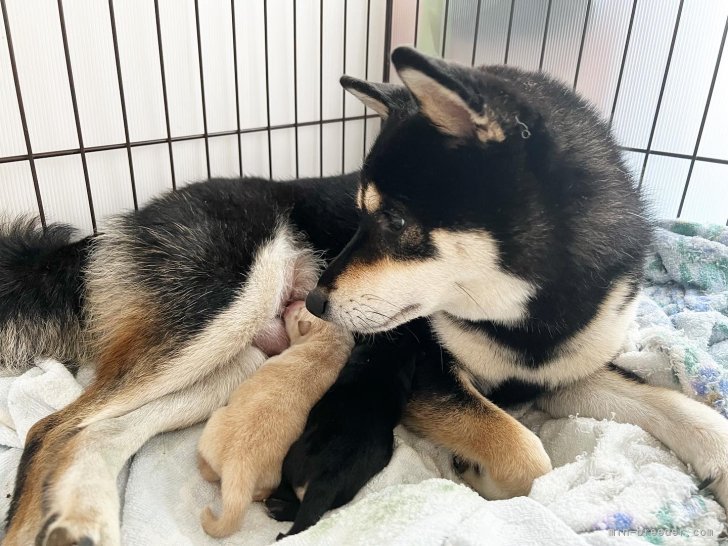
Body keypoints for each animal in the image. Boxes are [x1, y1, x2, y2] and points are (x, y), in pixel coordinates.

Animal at [193, 302, 352, 536]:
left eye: (294, 312)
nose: (289, 304)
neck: (327, 345)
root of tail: (238, 465)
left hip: (216, 424)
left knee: (208, 473)